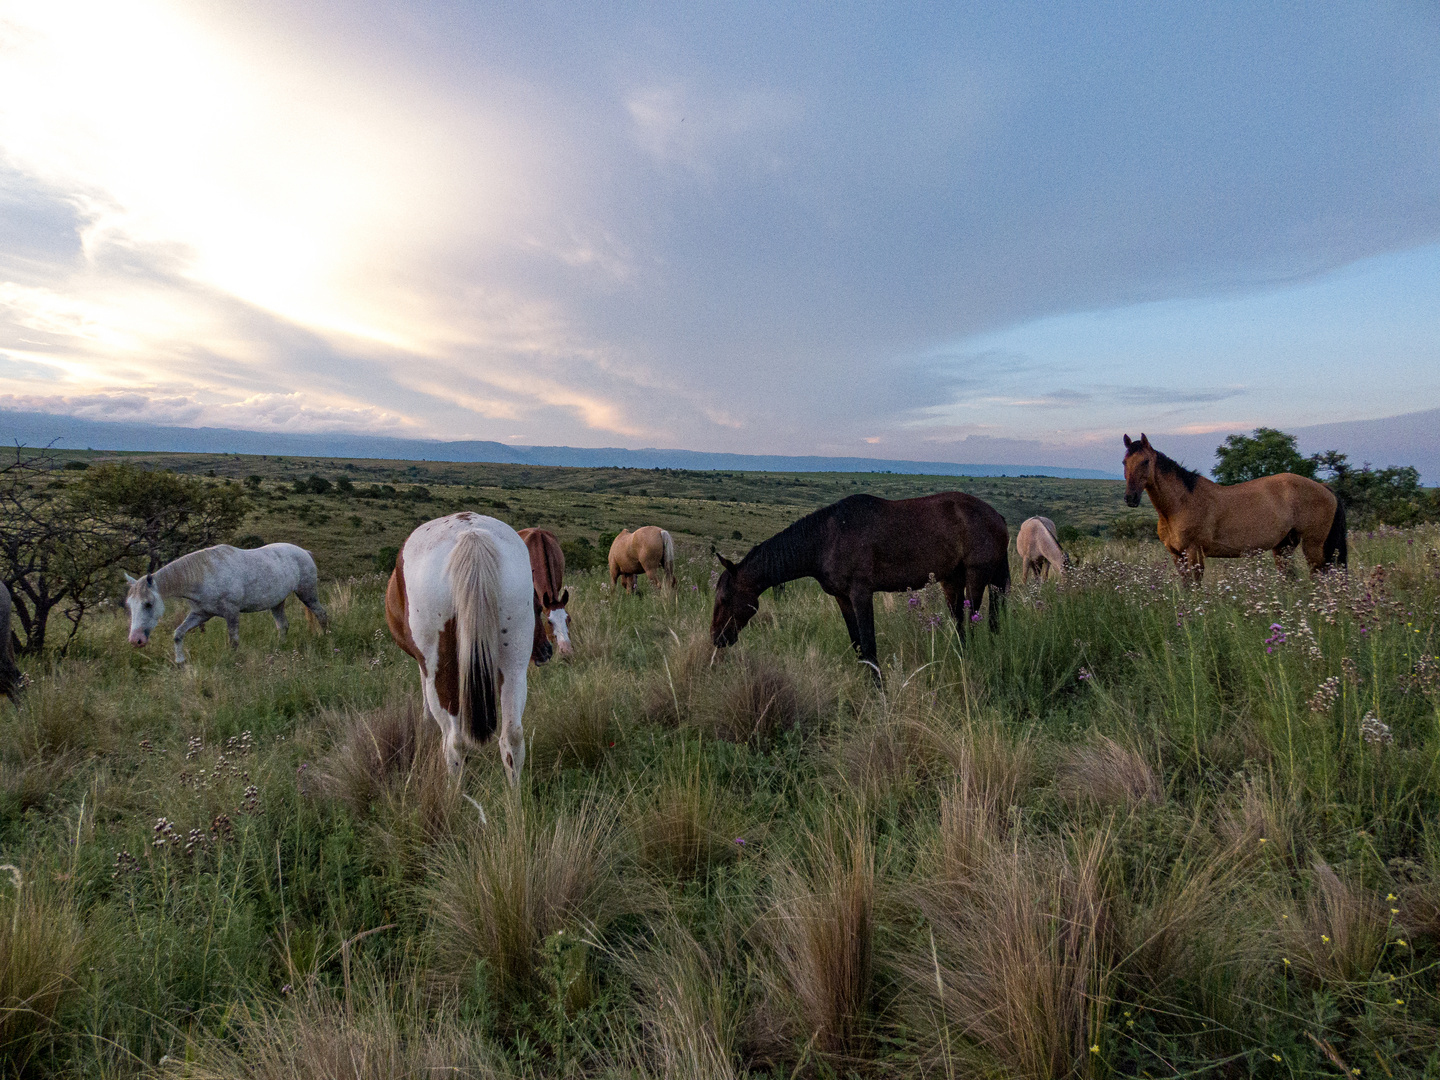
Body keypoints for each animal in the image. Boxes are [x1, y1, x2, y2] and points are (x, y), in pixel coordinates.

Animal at [124, 544, 329, 665]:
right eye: (130, 605)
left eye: (148, 604)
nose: (135, 640)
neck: (204, 576)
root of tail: (304, 552)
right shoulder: (200, 614)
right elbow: (178, 634)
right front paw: (180, 661)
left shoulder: (231, 613)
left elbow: (233, 641)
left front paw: (233, 662)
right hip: (277, 602)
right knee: (283, 626)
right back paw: (279, 649)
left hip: (308, 594)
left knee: (322, 615)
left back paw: (326, 638)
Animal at [385, 512, 547, 789]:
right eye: (538, 608)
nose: (547, 649)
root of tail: (471, 534)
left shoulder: (425, 666)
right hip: (514, 666)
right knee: (512, 737)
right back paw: (515, 798)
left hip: (441, 670)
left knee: (455, 742)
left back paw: (454, 796)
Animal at [711, 495, 1008, 679]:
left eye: (725, 599)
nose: (716, 638)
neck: (826, 539)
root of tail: (997, 516)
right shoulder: (843, 598)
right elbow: (858, 646)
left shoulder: (861, 594)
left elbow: (869, 645)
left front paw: (880, 692)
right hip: (953, 581)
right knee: (963, 626)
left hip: (976, 578)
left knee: (973, 622)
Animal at [1117, 432, 1342, 584]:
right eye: (1124, 462)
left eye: (1145, 461)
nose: (1130, 498)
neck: (1178, 505)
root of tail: (1323, 487)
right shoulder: (1176, 555)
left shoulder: (1194, 552)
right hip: (1283, 547)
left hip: (1313, 546)